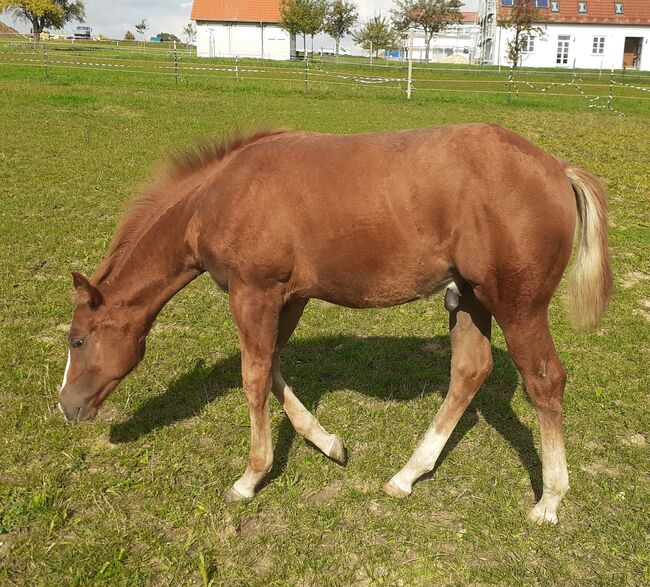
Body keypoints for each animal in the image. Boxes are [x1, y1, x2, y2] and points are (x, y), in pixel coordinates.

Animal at [58, 124, 612, 524]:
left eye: (78, 340)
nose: (67, 407)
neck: (219, 196)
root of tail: (557, 169)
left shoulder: (253, 293)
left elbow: (254, 377)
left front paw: (249, 478)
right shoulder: (289, 298)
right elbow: (273, 369)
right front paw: (328, 444)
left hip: (518, 306)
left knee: (545, 380)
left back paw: (549, 500)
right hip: (471, 298)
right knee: (470, 371)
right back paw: (407, 474)